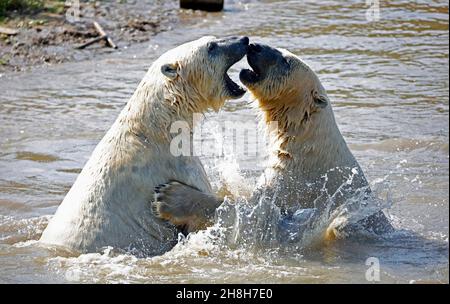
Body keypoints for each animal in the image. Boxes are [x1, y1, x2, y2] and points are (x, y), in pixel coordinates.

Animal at [153, 41, 392, 240]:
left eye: (286, 60)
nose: (255, 46)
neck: (307, 143)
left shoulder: (297, 184)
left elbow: (251, 215)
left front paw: (170, 196)